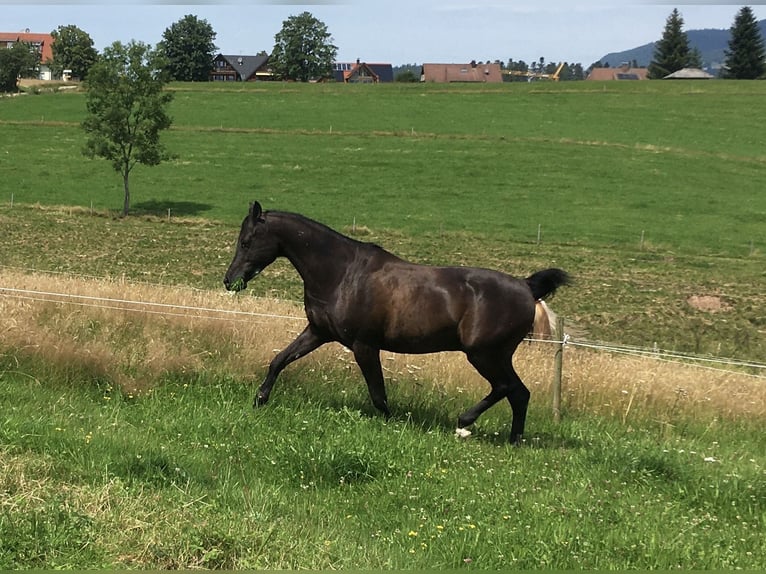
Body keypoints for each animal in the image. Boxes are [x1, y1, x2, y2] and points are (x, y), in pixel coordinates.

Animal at [224, 202, 570, 444]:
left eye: (247, 240)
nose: (230, 281)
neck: (343, 273)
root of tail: (527, 287)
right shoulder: (318, 332)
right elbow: (279, 360)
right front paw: (259, 400)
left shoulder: (364, 345)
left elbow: (378, 394)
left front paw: (391, 424)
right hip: (495, 355)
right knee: (519, 393)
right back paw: (513, 440)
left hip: (485, 354)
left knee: (507, 388)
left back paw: (464, 423)